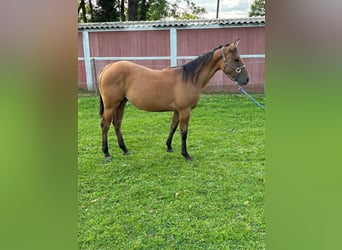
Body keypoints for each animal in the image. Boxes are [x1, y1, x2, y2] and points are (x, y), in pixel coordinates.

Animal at [98, 38, 248, 161]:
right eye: (236, 59)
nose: (246, 79)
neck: (189, 78)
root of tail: (108, 67)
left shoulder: (178, 110)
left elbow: (173, 127)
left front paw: (169, 146)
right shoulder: (185, 111)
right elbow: (183, 132)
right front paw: (186, 154)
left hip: (121, 103)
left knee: (117, 124)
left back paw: (124, 149)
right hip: (110, 105)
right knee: (105, 125)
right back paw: (106, 153)